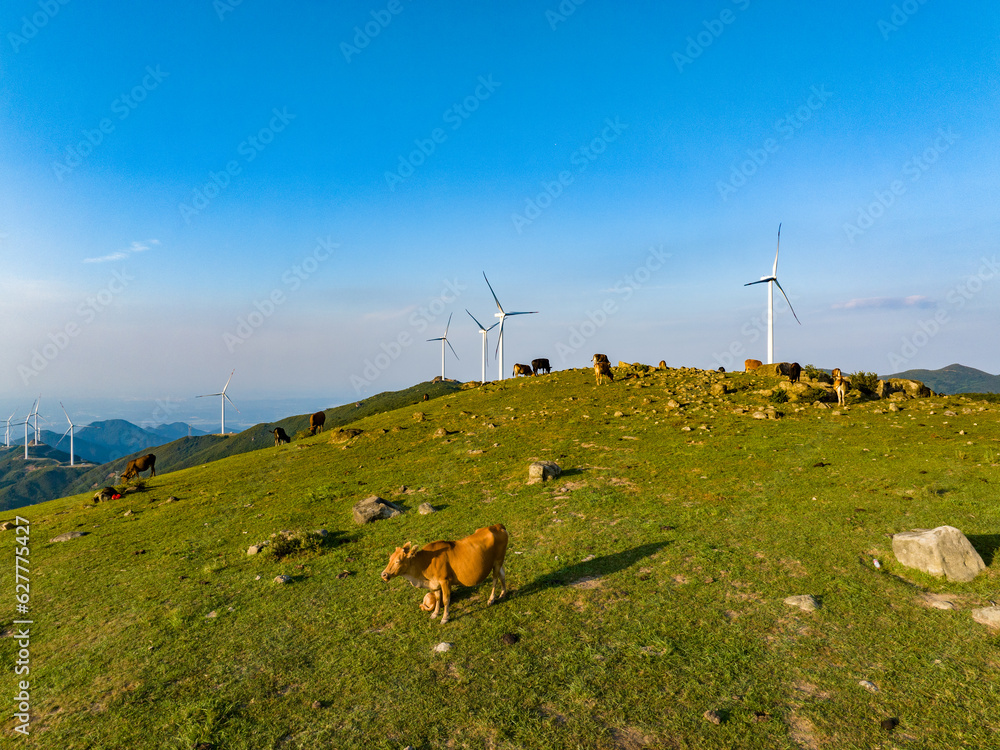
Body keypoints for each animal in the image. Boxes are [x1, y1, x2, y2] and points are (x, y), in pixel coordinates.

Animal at [380, 524, 512, 624]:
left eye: (398, 561)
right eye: (390, 559)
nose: (384, 574)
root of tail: (497, 526)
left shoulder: (445, 580)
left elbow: (446, 599)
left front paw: (445, 618)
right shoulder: (435, 583)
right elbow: (438, 598)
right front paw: (435, 613)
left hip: (497, 561)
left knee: (495, 578)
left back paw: (491, 599)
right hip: (499, 562)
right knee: (502, 574)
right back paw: (503, 593)